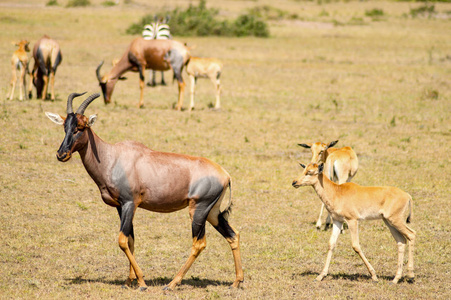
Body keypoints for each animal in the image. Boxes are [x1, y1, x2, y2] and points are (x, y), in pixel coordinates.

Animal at [45, 92, 244, 290]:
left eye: (80, 127)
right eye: (65, 127)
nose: (61, 154)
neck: (112, 157)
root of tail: (225, 174)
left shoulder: (129, 203)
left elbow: (122, 240)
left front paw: (141, 282)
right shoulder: (121, 207)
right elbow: (130, 240)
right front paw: (128, 282)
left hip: (198, 210)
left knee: (199, 243)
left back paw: (172, 284)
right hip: (213, 212)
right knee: (233, 235)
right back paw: (236, 282)